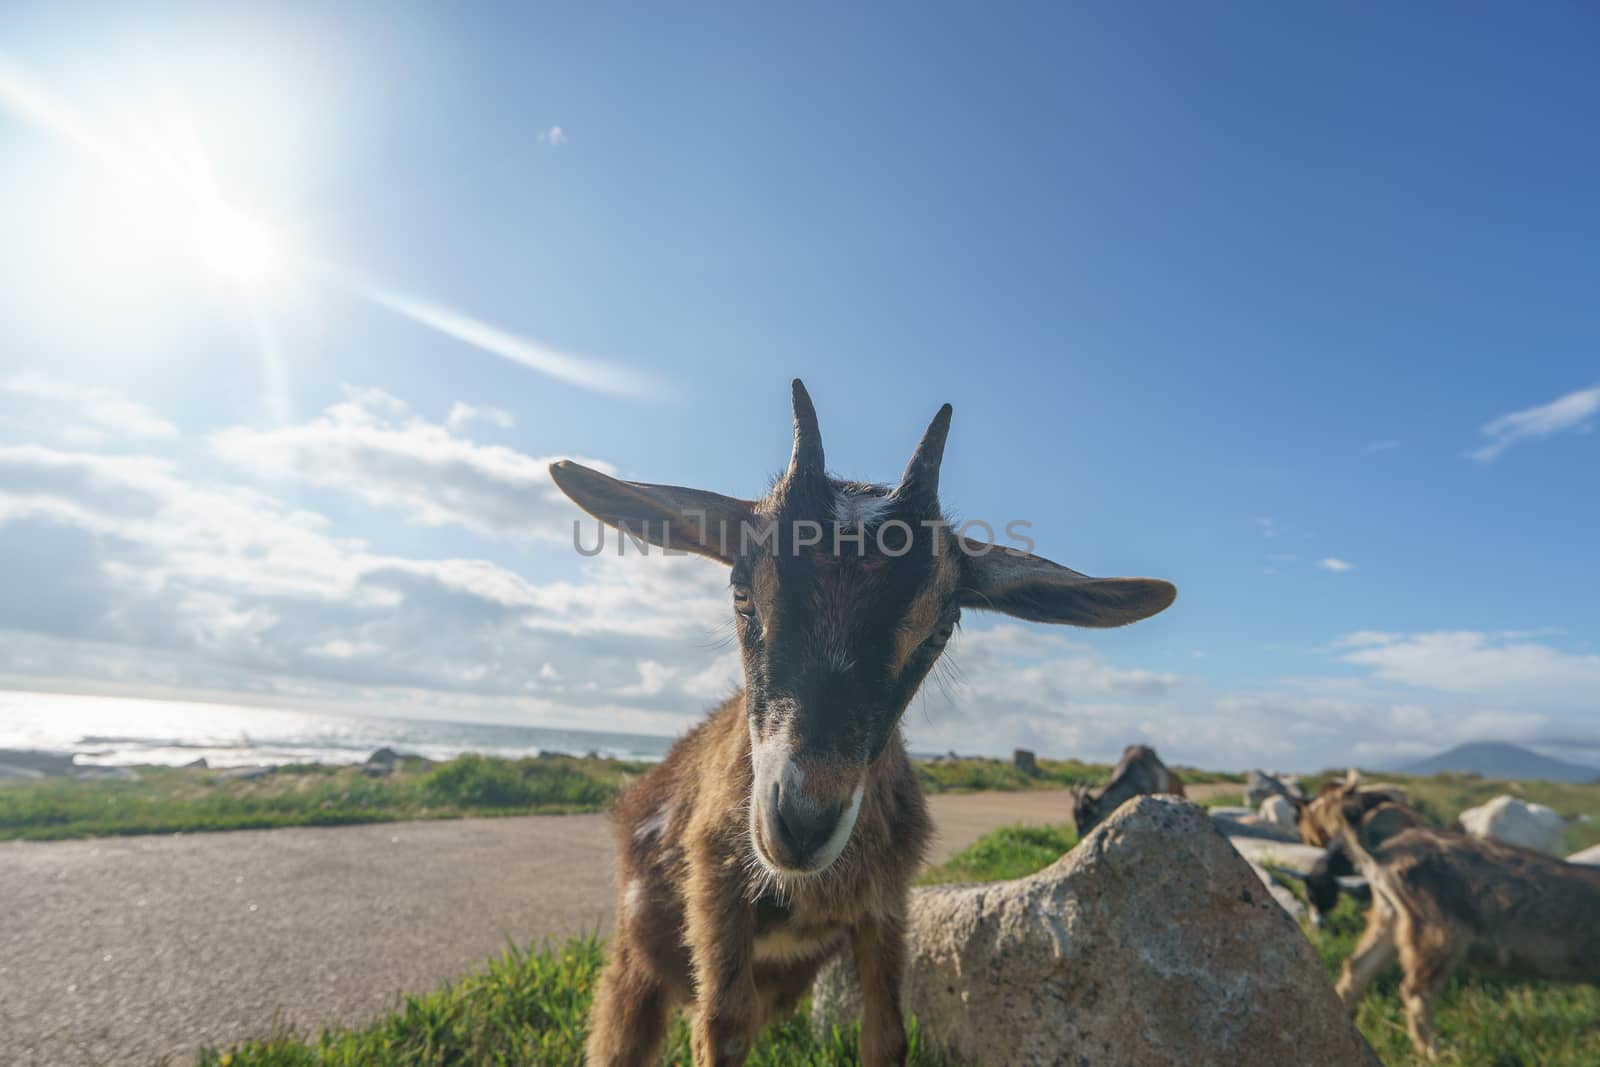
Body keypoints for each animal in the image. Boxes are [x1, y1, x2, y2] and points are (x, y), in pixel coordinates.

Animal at [550, 383, 1177, 1067]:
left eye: (940, 628)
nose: (801, 821)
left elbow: (887, 1032)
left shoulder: (885, 906)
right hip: (634, 962)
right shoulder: (714, 894)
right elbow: (722, 1025)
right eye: (742, 591)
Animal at [1299, 783, 1600, 1062]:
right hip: (1437, 931)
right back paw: (1434, 1054)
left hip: (1391, 917)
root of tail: (1386, 851)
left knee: (1357, 968)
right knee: (1416, 992)